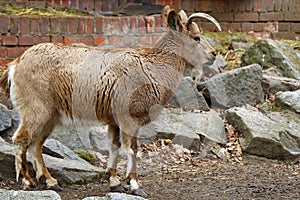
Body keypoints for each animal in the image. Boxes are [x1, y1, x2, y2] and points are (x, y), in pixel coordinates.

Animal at [0, 6, 220, 197]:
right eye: (196, 37)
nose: (213, 54)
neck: (151, 68)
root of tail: (16, 64)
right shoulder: (128, 118)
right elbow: (131, 149)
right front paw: (135, 185)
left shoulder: (114, 121)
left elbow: (113, 146)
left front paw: (114, 182)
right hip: (36, 109)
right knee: (21, 139)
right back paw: (27, 181)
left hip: (50, 116)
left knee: (36, 144)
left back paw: (50, 181)